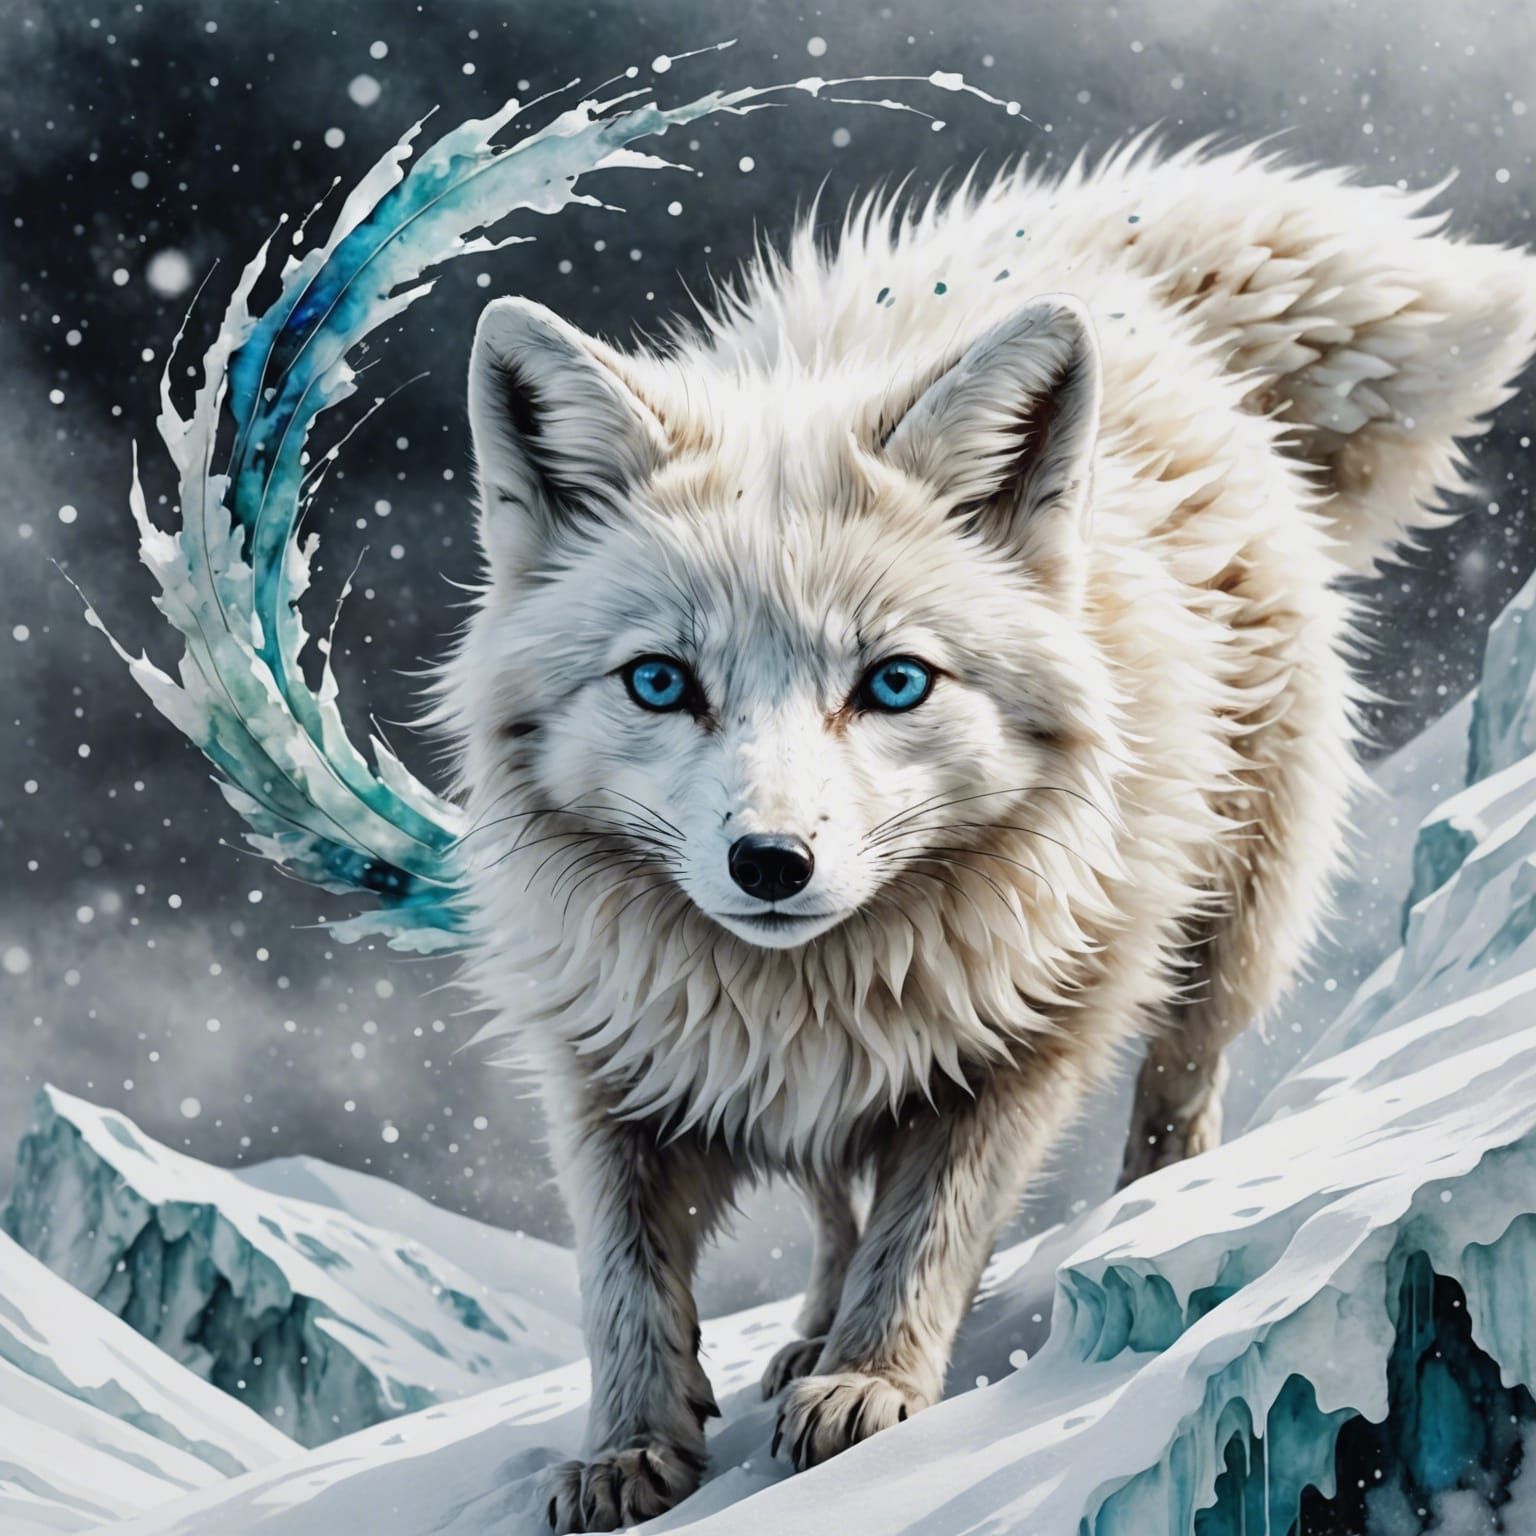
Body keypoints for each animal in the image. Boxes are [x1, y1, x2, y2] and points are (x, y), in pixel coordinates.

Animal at [434, 140, 1536, 1532]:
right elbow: (624, 1285)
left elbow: (926, 1237)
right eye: (661, 683)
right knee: (831, 1202)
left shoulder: (1020, 1043)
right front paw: (630, 1450)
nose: (771, 864)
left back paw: (1145, 1216)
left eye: (896, 683)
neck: (801, 996)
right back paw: (802, 1334)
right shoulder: (607, 1072)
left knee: (1179, 1092)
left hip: (1224, 930)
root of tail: (1103, 271)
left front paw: (870, 1389)